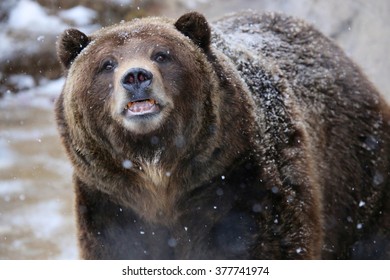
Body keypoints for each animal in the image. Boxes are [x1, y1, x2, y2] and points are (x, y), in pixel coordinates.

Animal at [54, 11, 390, 260]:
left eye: (162, 54)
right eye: (106, 63)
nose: (136, 76)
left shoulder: (240, 187)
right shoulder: (111, 205)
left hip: (357, 173)